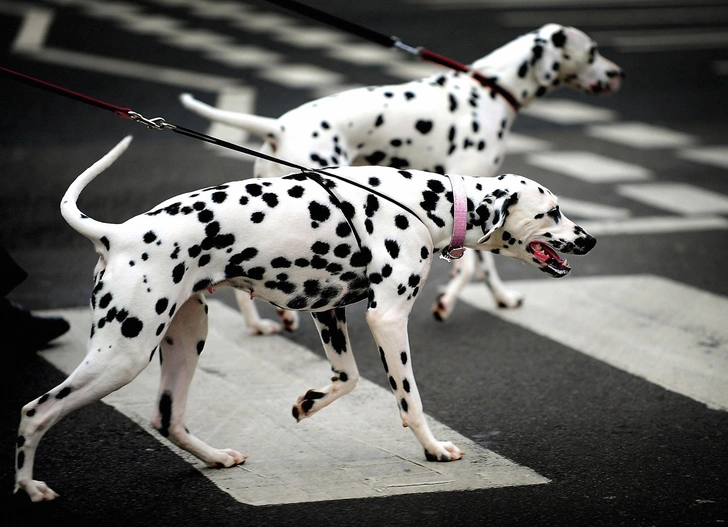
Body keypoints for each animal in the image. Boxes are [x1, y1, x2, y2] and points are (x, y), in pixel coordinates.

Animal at [15, 134, 596, 502]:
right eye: (552, 211)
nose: (589, 239)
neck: (425, 202)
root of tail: (116, 234)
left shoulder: (329, 310)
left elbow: (349, 378)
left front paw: (309, 402)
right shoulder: (387, 320)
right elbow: (409, 400)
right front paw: (433, 449)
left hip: (185, 337)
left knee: (167, 418)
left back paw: (215, 458)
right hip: (123, 354)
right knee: (35, 411)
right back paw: (29, 486)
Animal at [179, 23, 624, 334]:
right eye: (593, 51)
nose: (619, 73)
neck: (489, 89)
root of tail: (279, 125)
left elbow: (484, 265)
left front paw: (502, 298)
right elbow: (472, 267)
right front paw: (447, 302)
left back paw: (260, 323)